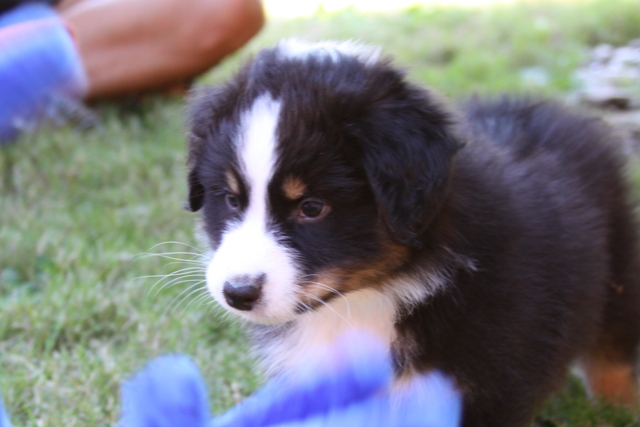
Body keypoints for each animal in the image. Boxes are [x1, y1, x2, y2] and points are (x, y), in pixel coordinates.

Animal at [185, 39, 640, 426]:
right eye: (232, 199)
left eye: (312, 207)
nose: (238, 293)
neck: (371, 297)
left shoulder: (489, 384)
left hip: (617, 269)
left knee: (613, 349)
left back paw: (617, 407)